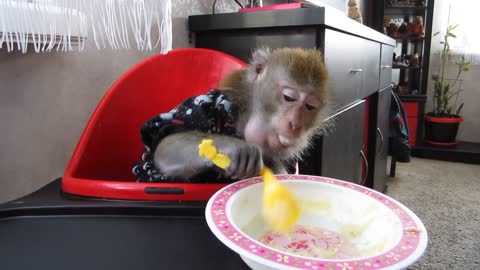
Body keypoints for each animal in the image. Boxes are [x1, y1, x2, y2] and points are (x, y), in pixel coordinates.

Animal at [133, 47, 332, 182]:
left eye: (310, 106)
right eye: (288, 97)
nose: (295, 124)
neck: (243, 117)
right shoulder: (208, 104)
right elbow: (166, 138)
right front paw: (231, 148)